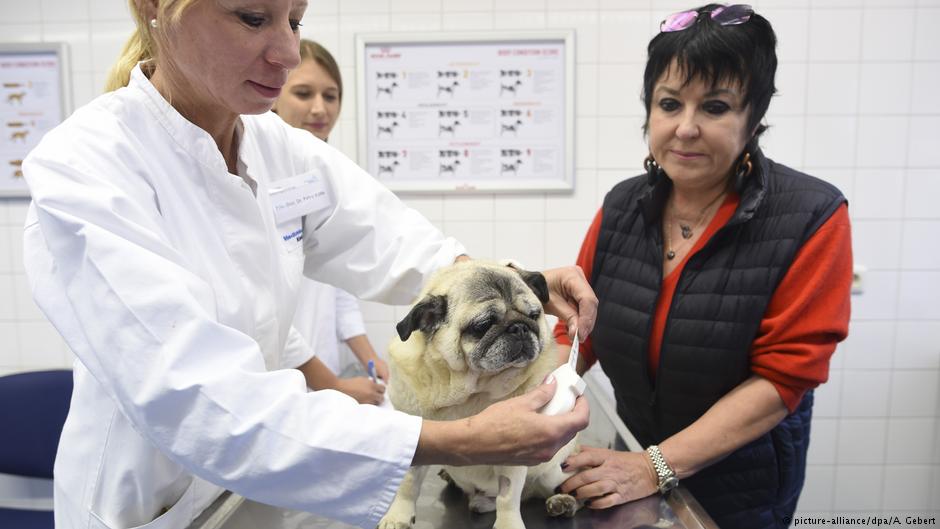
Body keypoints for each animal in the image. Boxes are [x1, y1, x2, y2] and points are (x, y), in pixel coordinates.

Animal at [378, 260, 576, 528]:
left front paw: (508, 525)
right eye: (483, 325)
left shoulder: (516, 458)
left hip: (553, 471)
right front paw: (398, 515)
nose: (520, 327)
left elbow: (507, 497)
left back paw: (563, 502)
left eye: (534, 315)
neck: (467, 390)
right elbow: (408, 483)